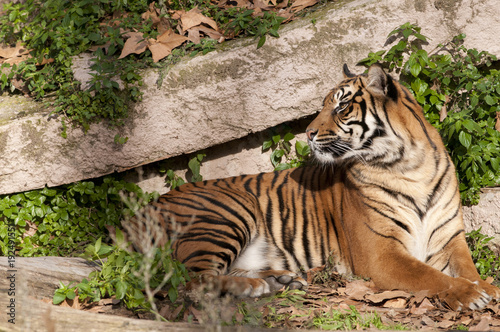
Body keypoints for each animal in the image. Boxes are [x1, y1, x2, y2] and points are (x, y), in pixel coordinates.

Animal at [131, 63, 500, 310]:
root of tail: (137, 214)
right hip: (224, 215)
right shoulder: (381, 254)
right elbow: (430, 277)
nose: (306, 133)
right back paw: (255, 286)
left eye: (341, 105)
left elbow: (468, 269)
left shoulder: (450, 239)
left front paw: (488, 288)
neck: (408, 166)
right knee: (190, 281)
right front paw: (469, 294)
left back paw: (277, 280)